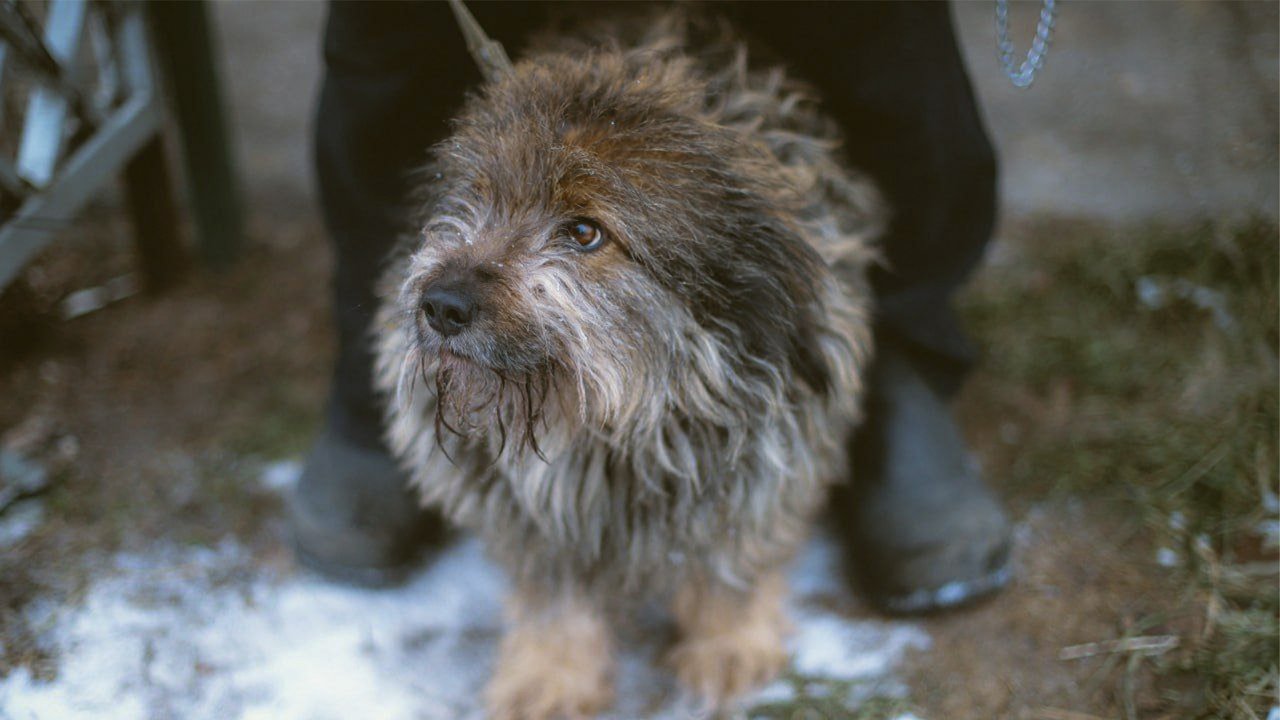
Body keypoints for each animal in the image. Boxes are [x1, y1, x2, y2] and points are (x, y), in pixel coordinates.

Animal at [373, 11, 885, 717]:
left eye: (585, 232)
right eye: (474, 198)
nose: (441, 305)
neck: (619, 418)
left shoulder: (767, 455)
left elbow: (732, 557)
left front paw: (728, 642)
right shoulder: (534, 514)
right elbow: (554, 594)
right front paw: (553, 675)